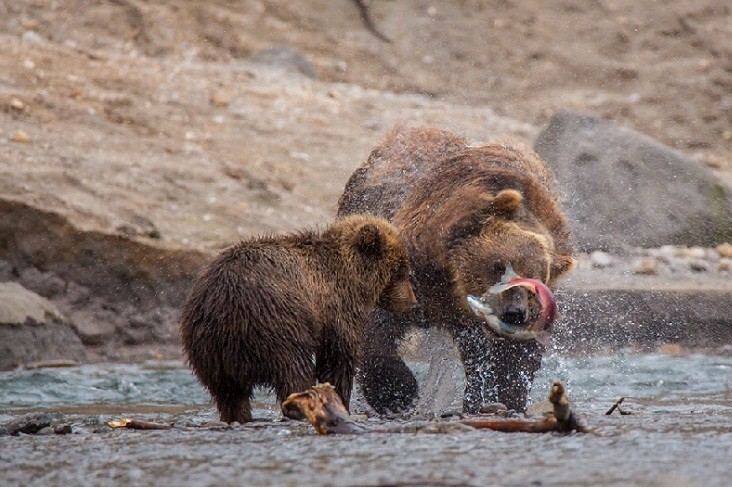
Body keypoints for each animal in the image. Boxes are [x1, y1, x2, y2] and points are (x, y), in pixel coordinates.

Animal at [336, 127, 572, 414]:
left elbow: (513, 354)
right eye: (498, 266)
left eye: (535, 284)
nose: (514, 313)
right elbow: (377, 322)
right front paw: (397, 392)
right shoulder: (413, 272)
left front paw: (506, 397)